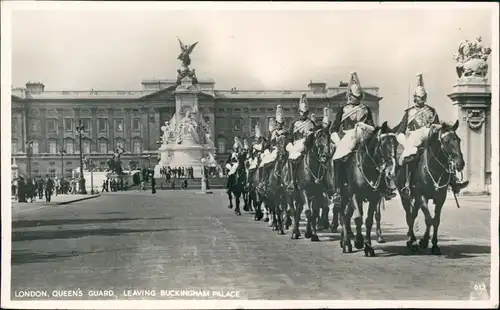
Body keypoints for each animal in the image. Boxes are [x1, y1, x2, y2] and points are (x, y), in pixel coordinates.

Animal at [336, 122, 398, 256]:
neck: (366, 167)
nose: (391, 171)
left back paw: (344, 240)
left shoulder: (374, 197)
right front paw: (358, 241)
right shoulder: (354, 195)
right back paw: (347, 243)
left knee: (347, 216)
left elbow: (369, 220)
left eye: (396, 143)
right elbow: (358, 218)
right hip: (344, 196)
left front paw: (368, 246)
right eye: (383, 142)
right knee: (342, 215)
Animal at [396, 120, 466, 254]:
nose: (460, 163)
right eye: (446, 141)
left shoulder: (440, 198)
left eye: (458, 140)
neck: (434, 169)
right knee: (410, 217)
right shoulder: (422, 197)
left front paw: (433, 245)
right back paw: (412, 242)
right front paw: (423, 241)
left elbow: (435, 221)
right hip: (405, 197)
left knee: (413, 215)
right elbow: (429, 219)